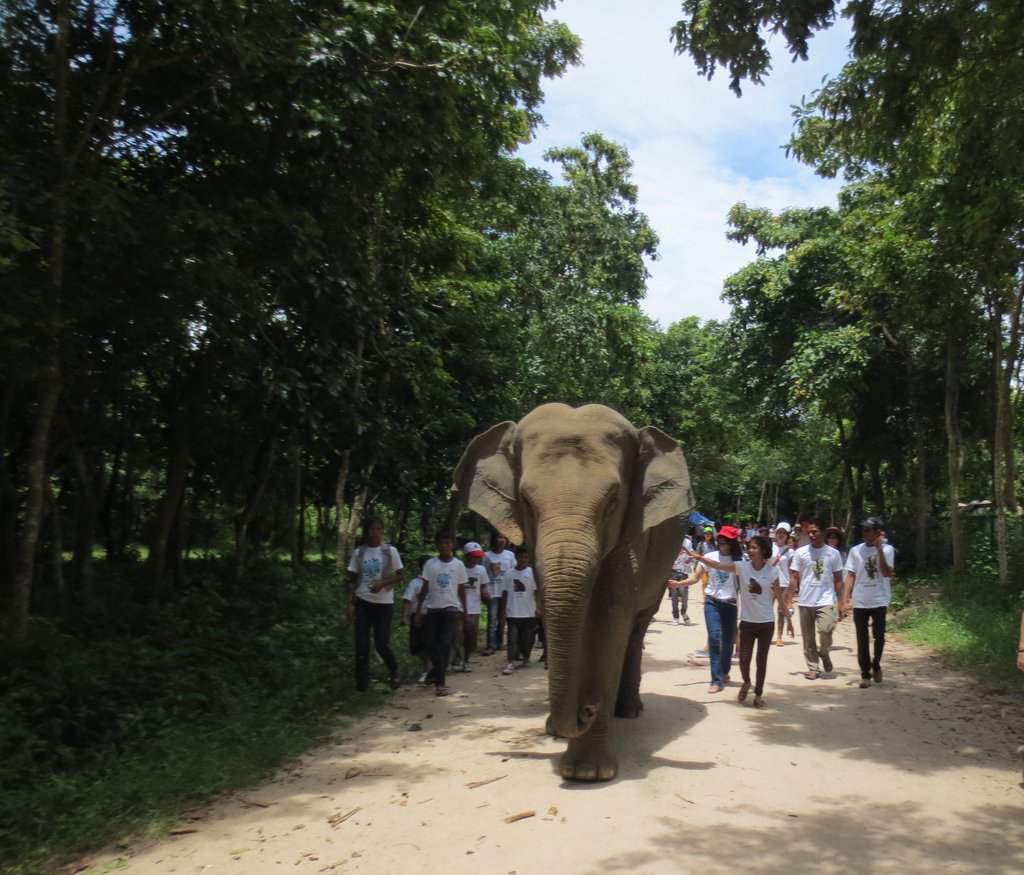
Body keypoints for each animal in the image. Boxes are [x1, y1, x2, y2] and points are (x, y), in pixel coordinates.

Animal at [452, 403, 693, 781]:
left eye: (613, 500)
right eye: (526, 502)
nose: (587, 710)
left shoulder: (631, 534)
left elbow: (607, 625)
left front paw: (588, 773)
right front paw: (559, 731)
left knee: (637, 626)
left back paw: (628, 710)